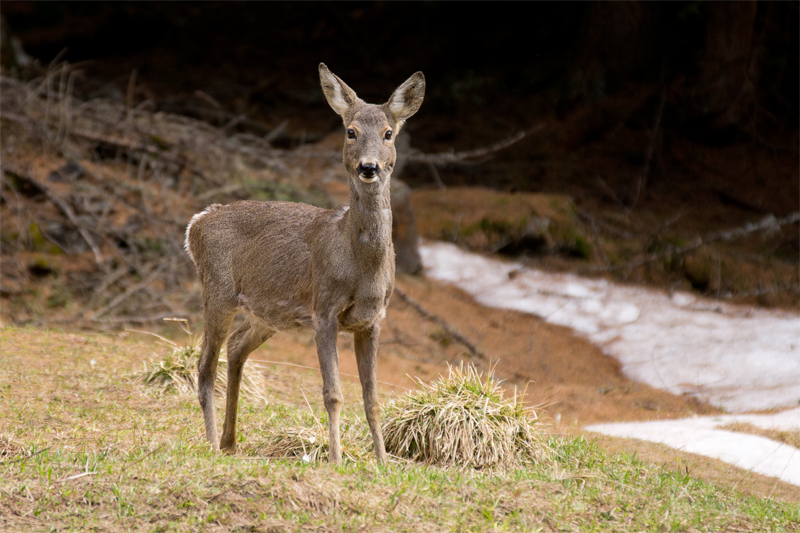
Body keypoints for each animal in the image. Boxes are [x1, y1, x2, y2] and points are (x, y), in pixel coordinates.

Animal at [186, 61, 424, 462]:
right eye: (350, 131)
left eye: (389, 133)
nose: (369, 167)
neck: (362, 267)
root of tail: (197, 223)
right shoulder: (324, 309)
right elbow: (334, 394)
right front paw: (335, 459)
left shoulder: (372, 320)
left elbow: (373, 399)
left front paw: (382, 461)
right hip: (217, 289)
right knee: (205, 366)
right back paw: (212, 443)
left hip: (268, 313)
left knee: (235, 348)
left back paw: (231, 442)